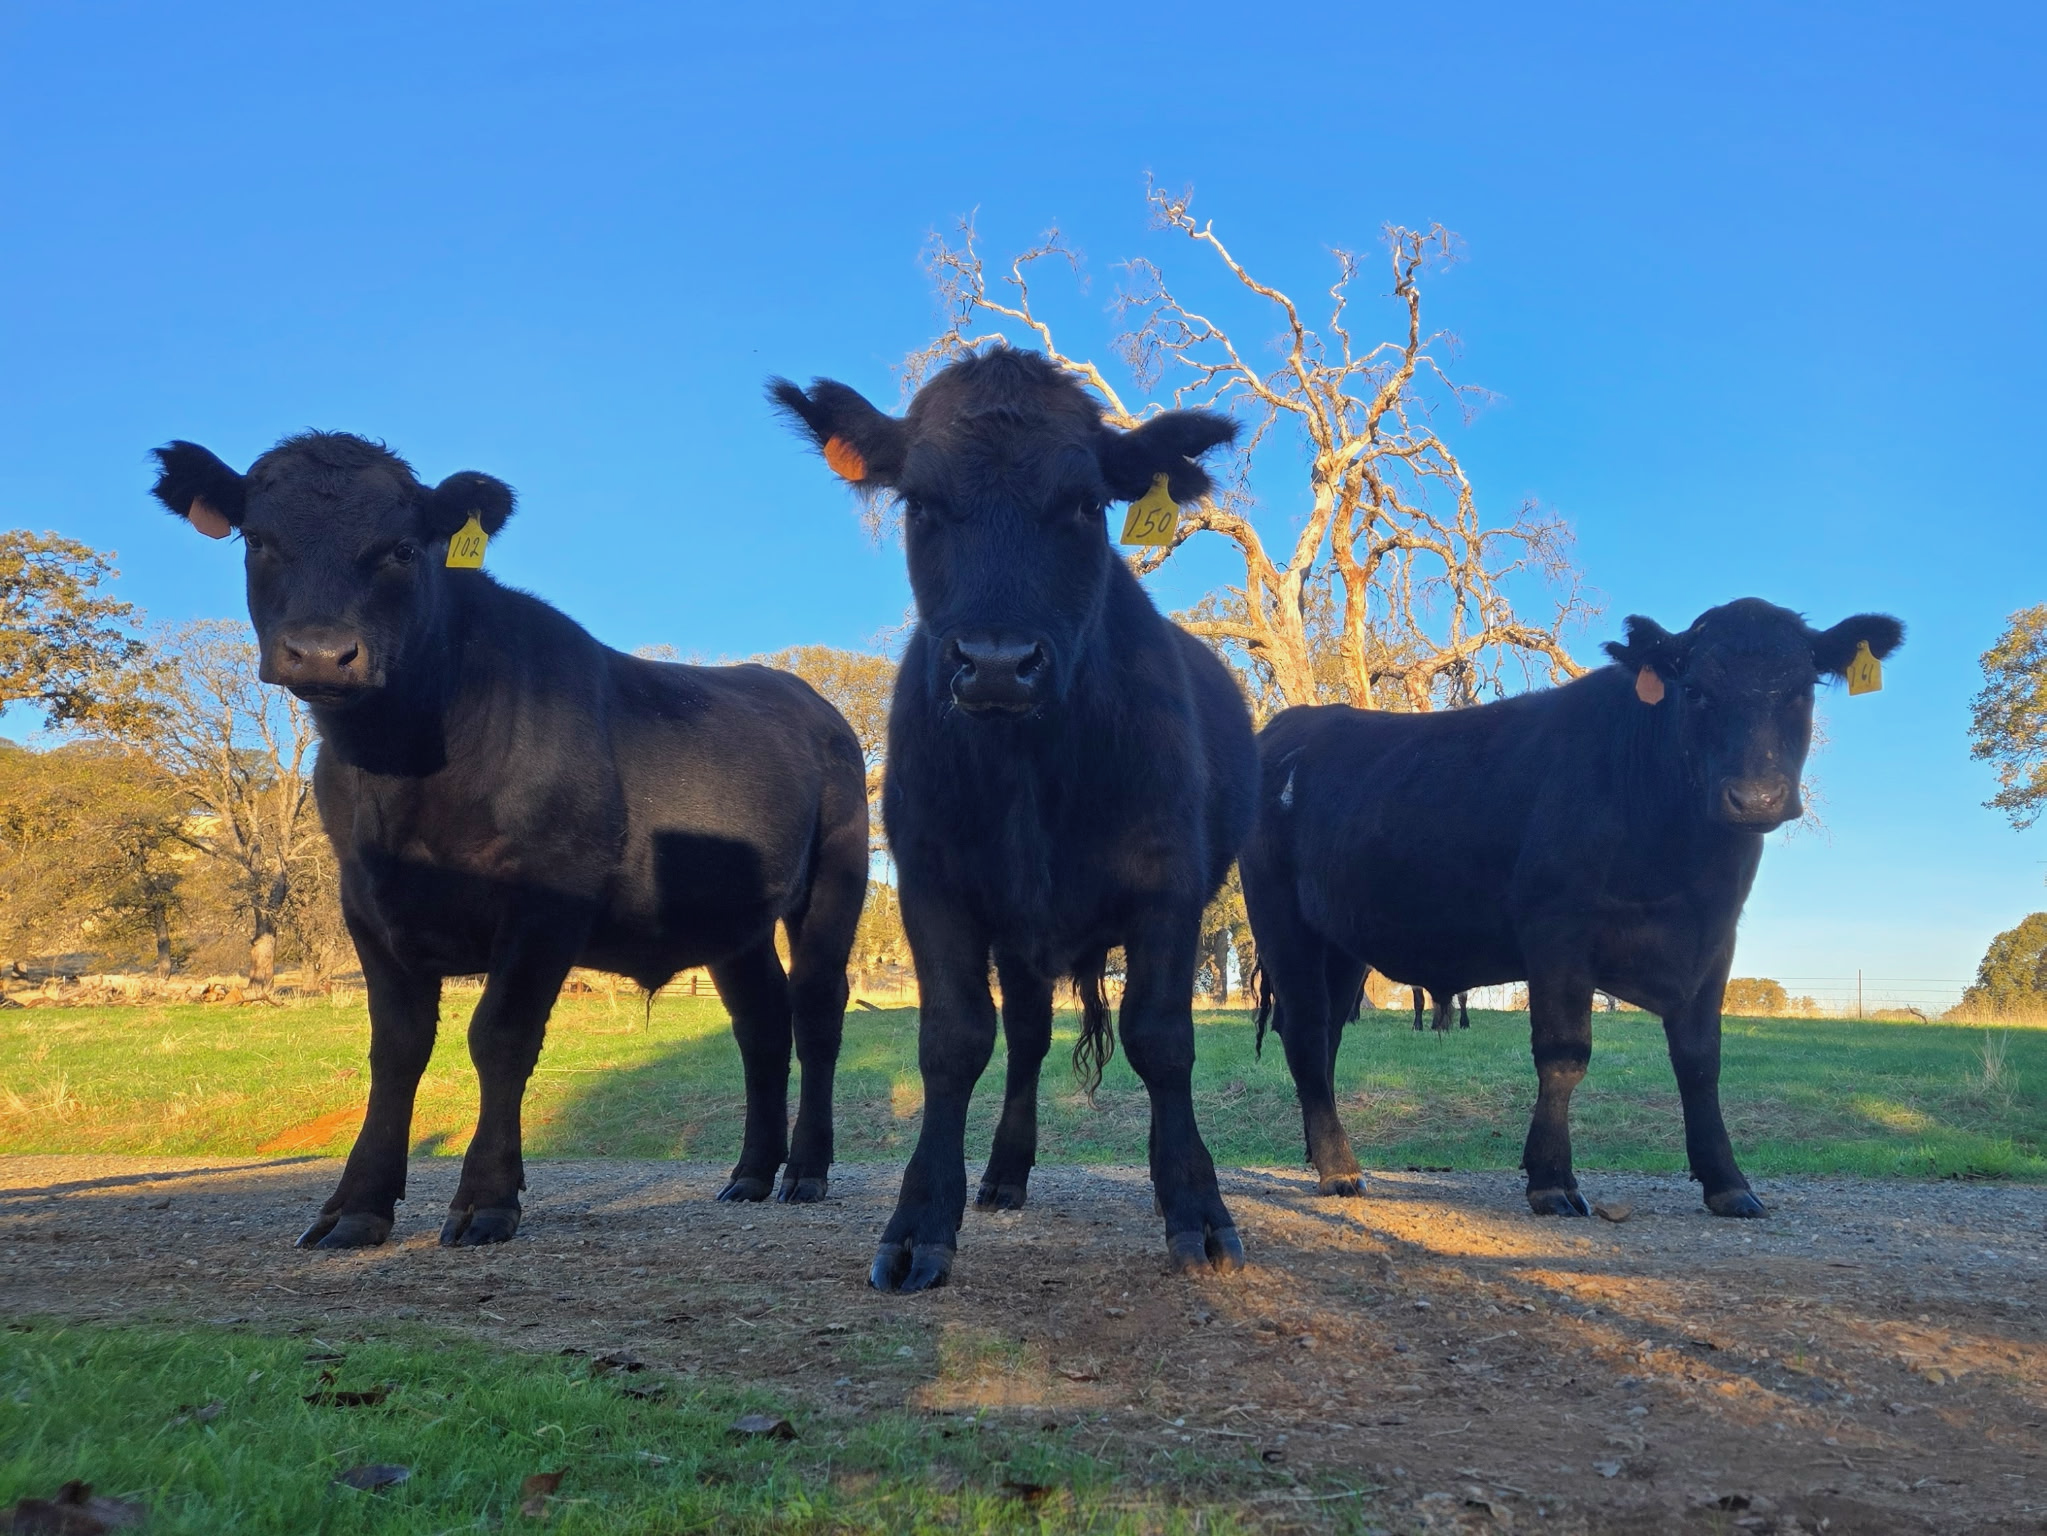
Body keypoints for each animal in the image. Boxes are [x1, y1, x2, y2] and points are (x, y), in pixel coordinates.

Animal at [149, 432, 868, 1247]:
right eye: (258, 540)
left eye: (403, 549)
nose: (322, 652)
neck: (401, 774)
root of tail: (807, 697)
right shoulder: (366, 904)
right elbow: (395, 1051)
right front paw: (355, 1206)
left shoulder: (547, 902)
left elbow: (499, 1036)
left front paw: (486, 1198)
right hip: (731, 922)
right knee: (761, 1023)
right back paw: (749, 1173)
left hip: (835, 876)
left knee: (816, 1009)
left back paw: (806, 1171)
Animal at [770, 348, 1259, 1291]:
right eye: (920, 502)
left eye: (1083, 503)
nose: (996, 663)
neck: (1030, 771)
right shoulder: (933, 884)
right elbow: (953, 1042)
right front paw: (921, 1220)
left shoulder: (1169, 886)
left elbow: (1161, 1040)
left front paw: (1195, 1206)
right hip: (1022, 938)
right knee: (1027, 1038)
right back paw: (1001, 1174)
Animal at [1241, 597, 1903, 1217]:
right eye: (1695, 690)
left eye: (1801, 689)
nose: (1756, 797)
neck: (1682, 864)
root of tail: (1291, 726)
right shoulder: (1558, 931)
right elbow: (1563, 1055)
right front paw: (1552, 1179)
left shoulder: (1715, 938)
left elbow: (1700, 1062)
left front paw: (1728, 1183)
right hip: (1281, 920)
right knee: (1306, 1030)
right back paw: (1339, 1169)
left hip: (1341, 940)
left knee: (1327, 1035)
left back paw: (1318, 1153)